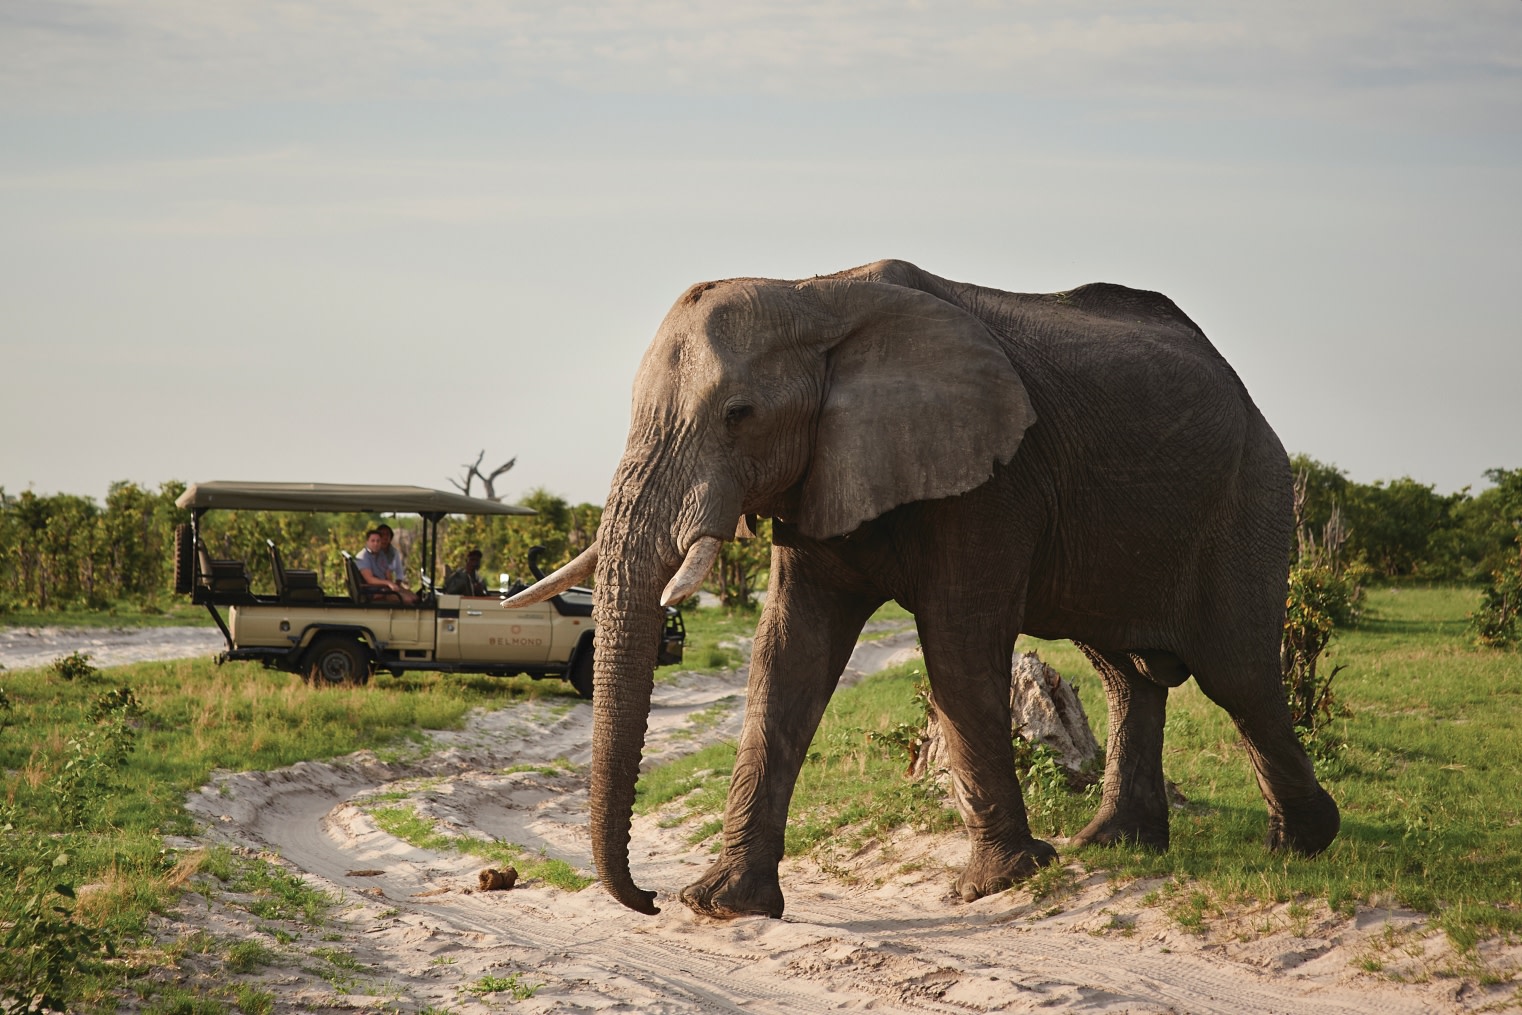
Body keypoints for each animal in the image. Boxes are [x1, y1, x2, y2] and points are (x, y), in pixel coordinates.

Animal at [505, 255, 1339, 919]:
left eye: (739, 414)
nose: (647, 898)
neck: (816, 294)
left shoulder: (992, 480)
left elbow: (958, 646)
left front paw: (997, 884)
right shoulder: (823, 471)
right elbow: (788, 652)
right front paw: (723, 904)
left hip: (1254, 496)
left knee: (1238, 675)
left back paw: (1302, 845)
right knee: (1126, 672)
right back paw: (1115, 844)